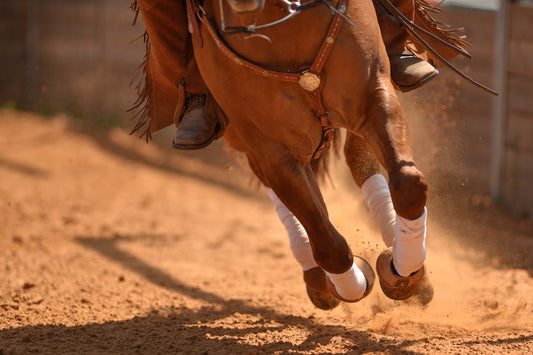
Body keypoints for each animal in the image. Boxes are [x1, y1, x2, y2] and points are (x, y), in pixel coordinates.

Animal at [189, 0, 426, 306]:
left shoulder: (374, 96)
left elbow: (409, 185)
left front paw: (403, 272)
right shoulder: (273, 150)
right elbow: (328, 244)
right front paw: (352, 283)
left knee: (359, 163)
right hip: (247, 142)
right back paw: (318, 279)